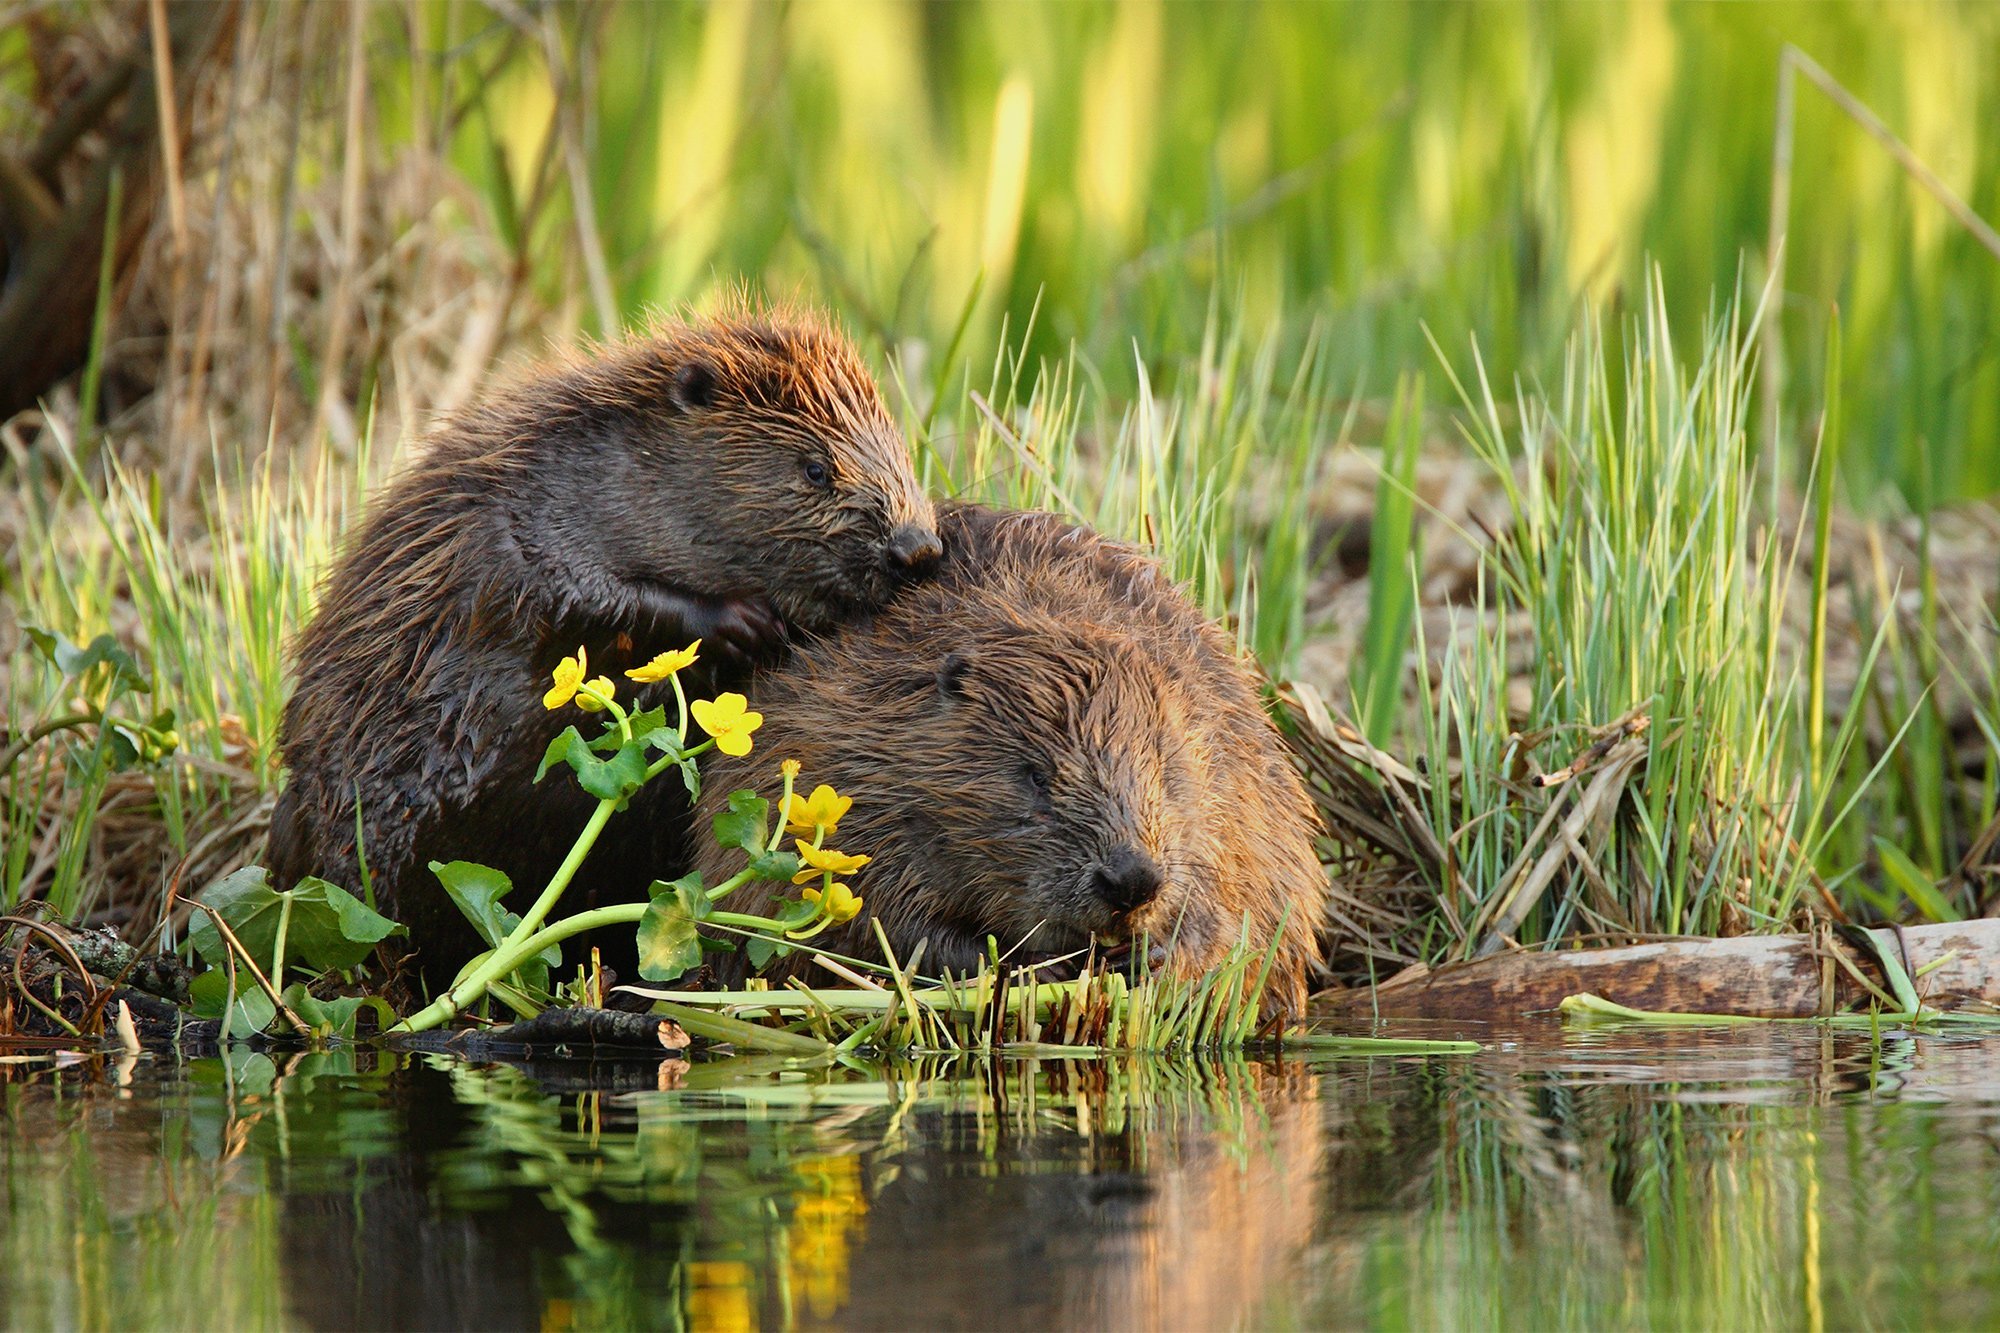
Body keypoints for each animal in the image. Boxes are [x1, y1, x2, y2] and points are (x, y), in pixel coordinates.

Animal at [264, 306, 936, 980]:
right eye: (815, 468)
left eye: (901, 449)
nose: (918, 548)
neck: (628, 465)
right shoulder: (524, 512)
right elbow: (572, 588)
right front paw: (745, 621)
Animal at [688, 504, 1328, 1012]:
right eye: (1034, 776)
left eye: (1168, 773)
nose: (1131, 878)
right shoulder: (844, 747)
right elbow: (879, 916)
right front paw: (1033, 967)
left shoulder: (1233, 772)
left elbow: (1241, 908)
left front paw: (1155, 956)